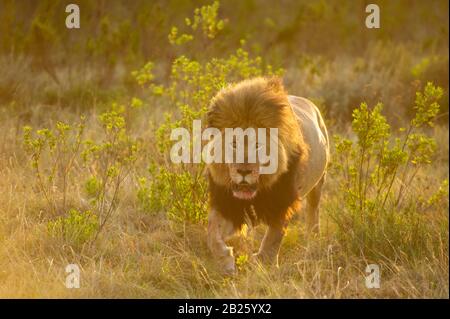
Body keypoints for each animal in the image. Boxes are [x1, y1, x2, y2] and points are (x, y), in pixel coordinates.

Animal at [206, 77, 328, 276]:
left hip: (318, 183)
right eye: (233, 144)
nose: (244, 171)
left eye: (258, 145)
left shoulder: (283, 202)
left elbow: (274, 236)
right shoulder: (227, 203)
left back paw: (313, 238)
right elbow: (212, 234)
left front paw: (264, 264)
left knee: (313, 210)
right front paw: (226, 263)